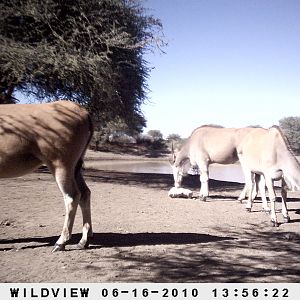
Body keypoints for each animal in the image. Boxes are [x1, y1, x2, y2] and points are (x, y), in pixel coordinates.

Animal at [0, 100, 93, 251]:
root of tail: (82, 111)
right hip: (75, 168)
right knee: (85, 193)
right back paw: (83, 240)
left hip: (60, 166)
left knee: (72, 196)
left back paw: (61, 242)